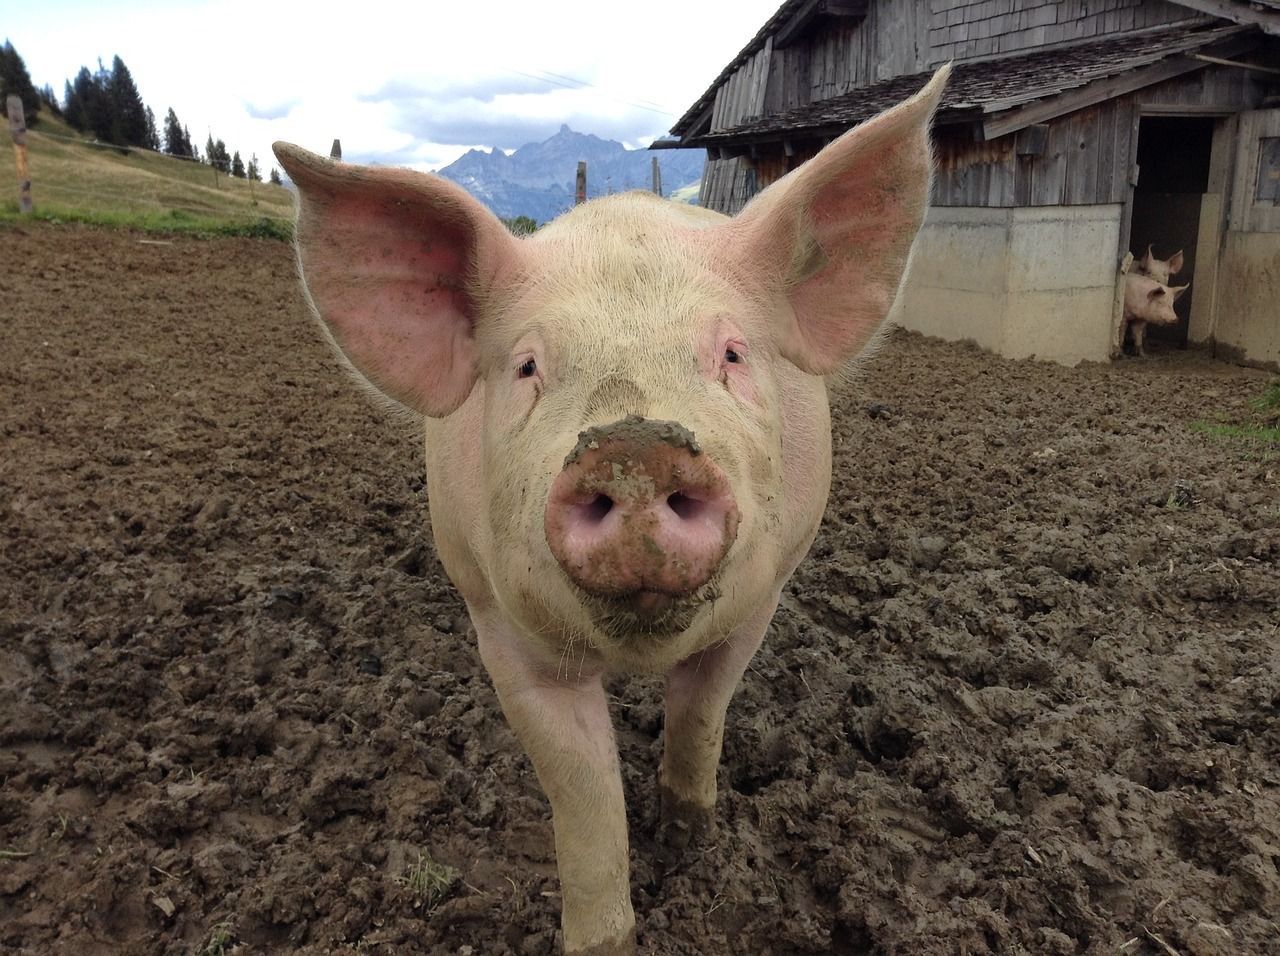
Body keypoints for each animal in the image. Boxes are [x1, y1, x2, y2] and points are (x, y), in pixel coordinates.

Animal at [273, 65, 950, 955]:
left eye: (732, 353)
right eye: (528, 366)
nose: (635, 447)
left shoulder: (759, 598)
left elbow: (702, 710)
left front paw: (689, 840)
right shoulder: (502, 628)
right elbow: (583, 793)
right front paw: (607, 934)